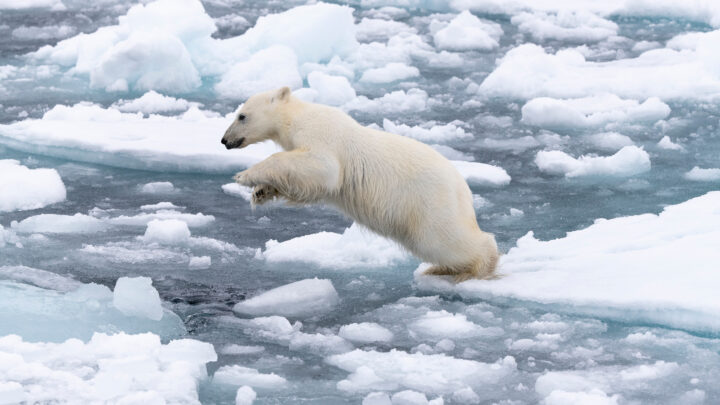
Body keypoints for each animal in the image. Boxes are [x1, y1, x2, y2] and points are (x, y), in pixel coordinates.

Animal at [221, 87, 499, 282]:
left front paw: (245, 175)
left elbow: (322, 167)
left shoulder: (322, 135)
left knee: (443, 239)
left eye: (241, 115)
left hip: (429, 202)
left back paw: (476, 267)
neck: (298, 116)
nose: (224, 140)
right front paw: (260, 192)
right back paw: (441, 269)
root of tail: (463, 190)